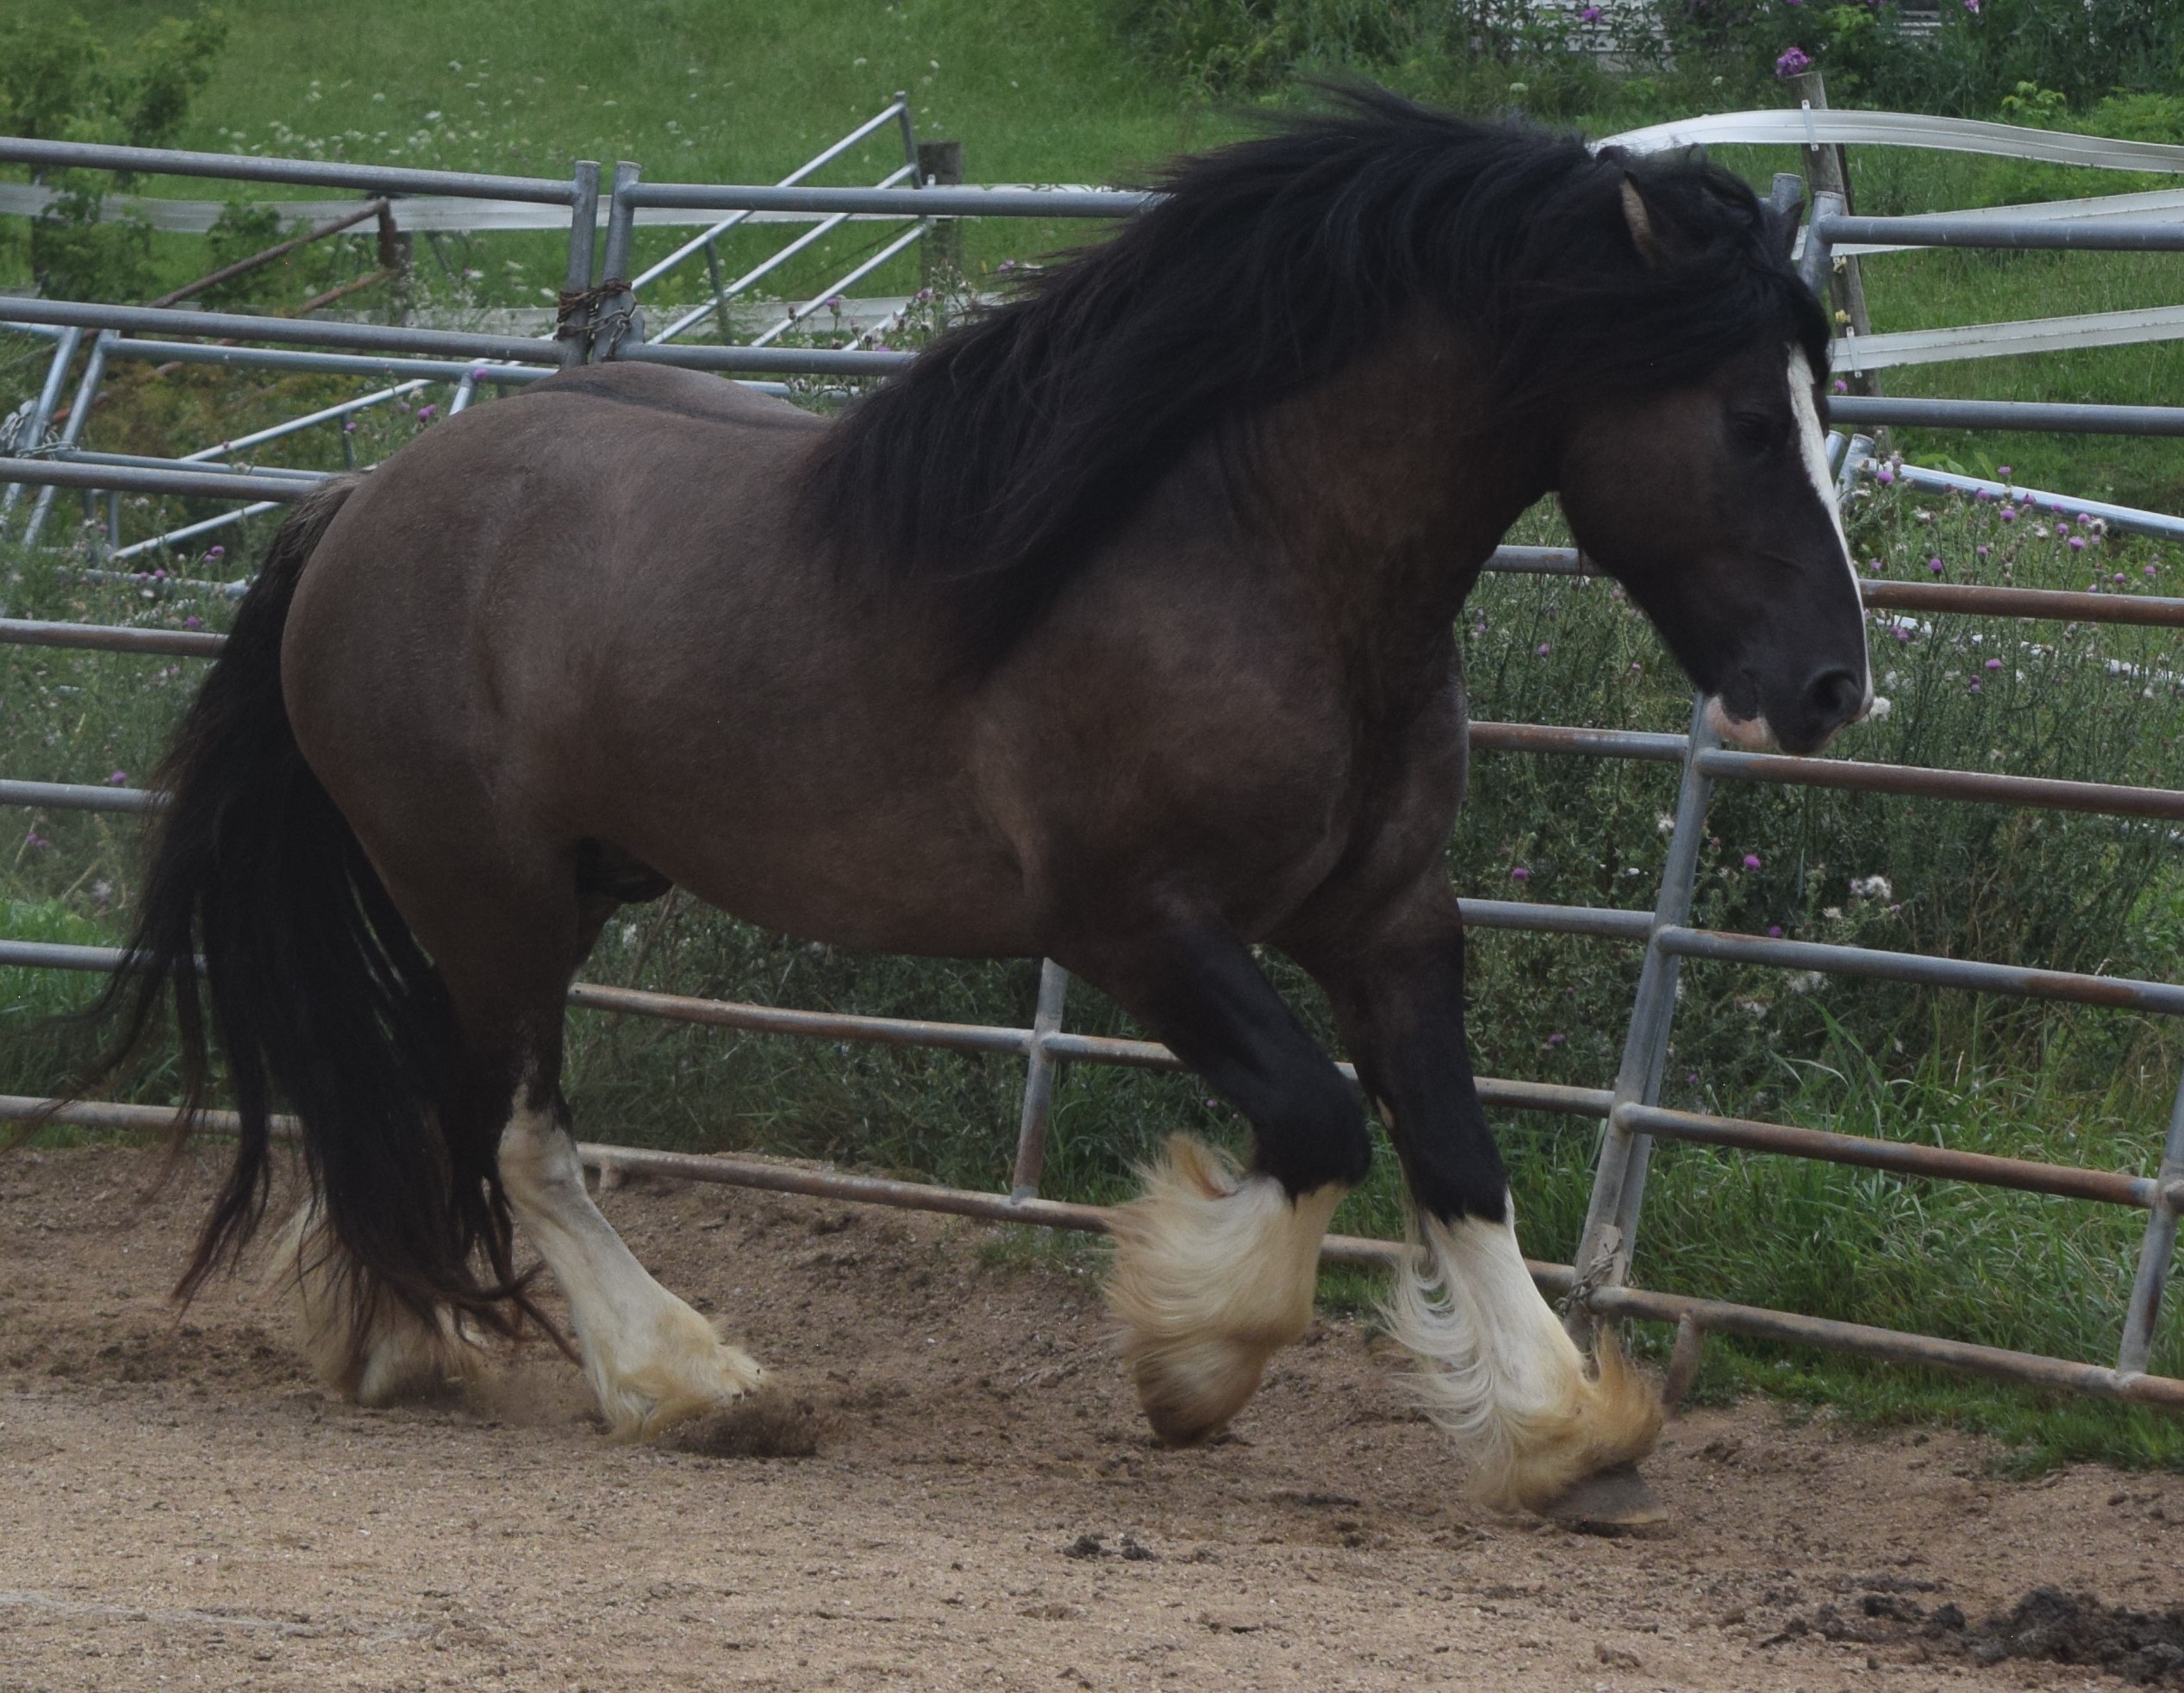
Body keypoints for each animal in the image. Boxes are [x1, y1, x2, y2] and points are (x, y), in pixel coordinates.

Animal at [83, 88, 1867, 1520]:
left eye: (1821, 406)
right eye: (1738, 415)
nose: (1828, 687)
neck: (1253, 551)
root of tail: (354, 502)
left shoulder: (1387, 917)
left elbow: (1454, 1153)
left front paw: (1561, 1432)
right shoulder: (1136, 923)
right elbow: (1314, 1122)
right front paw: (1188, 1359)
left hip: (562, 887)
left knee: (431, 1108)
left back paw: (394, 1327)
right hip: (489, 894)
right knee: (520, 1132)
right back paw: (680, 1379)